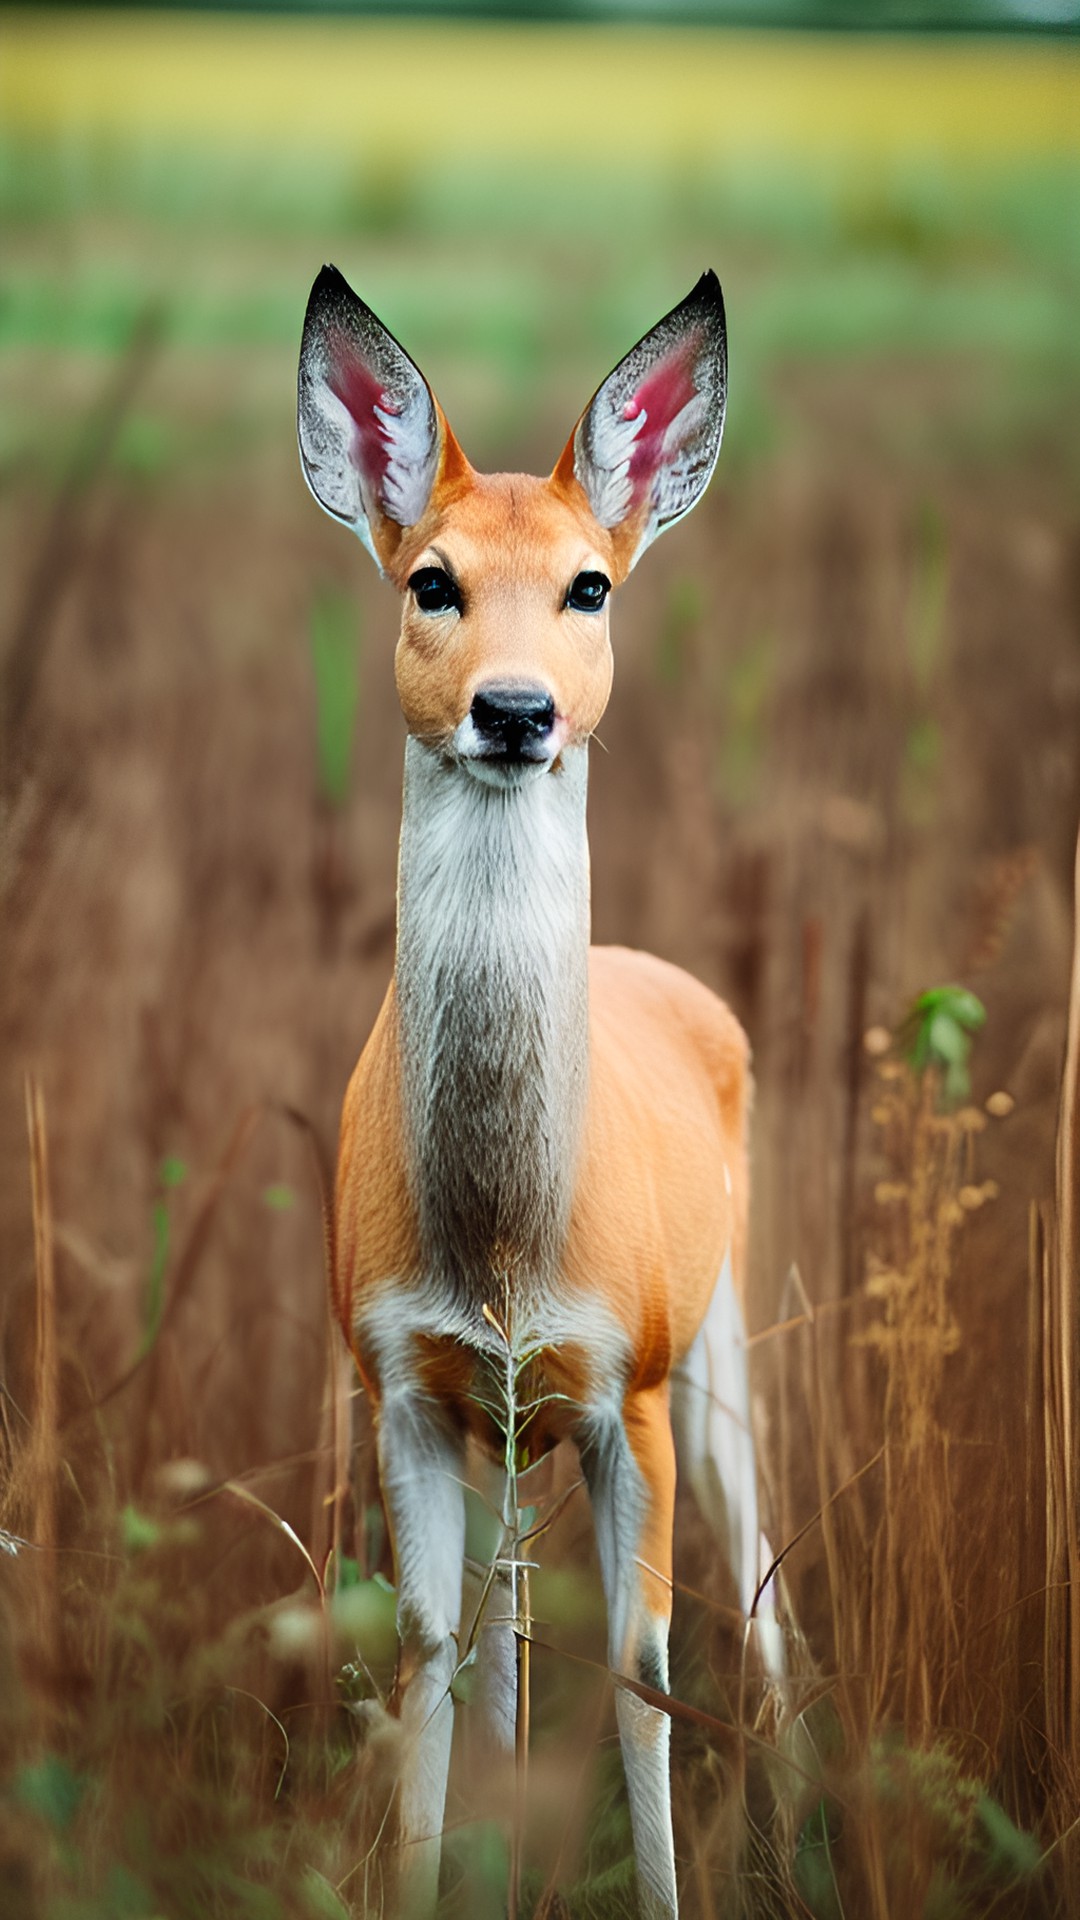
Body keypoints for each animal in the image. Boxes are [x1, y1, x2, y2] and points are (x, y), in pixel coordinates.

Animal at [297, 266, 776, 1920]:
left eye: (591, 588)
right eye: (431, 580)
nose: (515, 712)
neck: (506, 1241)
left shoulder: (625, 1381)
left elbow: (644, 1669)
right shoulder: (400, 1378)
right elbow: (432, 1654)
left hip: (721, 1338)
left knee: (762, 1584)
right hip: (515, 1437)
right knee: (503, 1628)